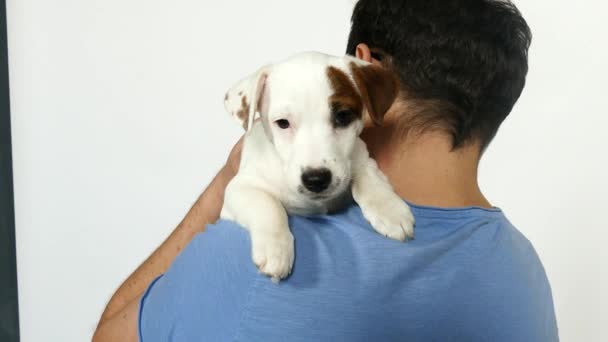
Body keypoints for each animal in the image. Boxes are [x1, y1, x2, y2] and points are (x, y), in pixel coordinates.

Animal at [221, 50, 416, 280]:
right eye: (283, 123)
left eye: (343, 116)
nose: (316, 180)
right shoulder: (239, 188)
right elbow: (267, 204)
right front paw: (275, 247)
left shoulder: (361, 156)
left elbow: (369, 178)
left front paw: (389, 210)